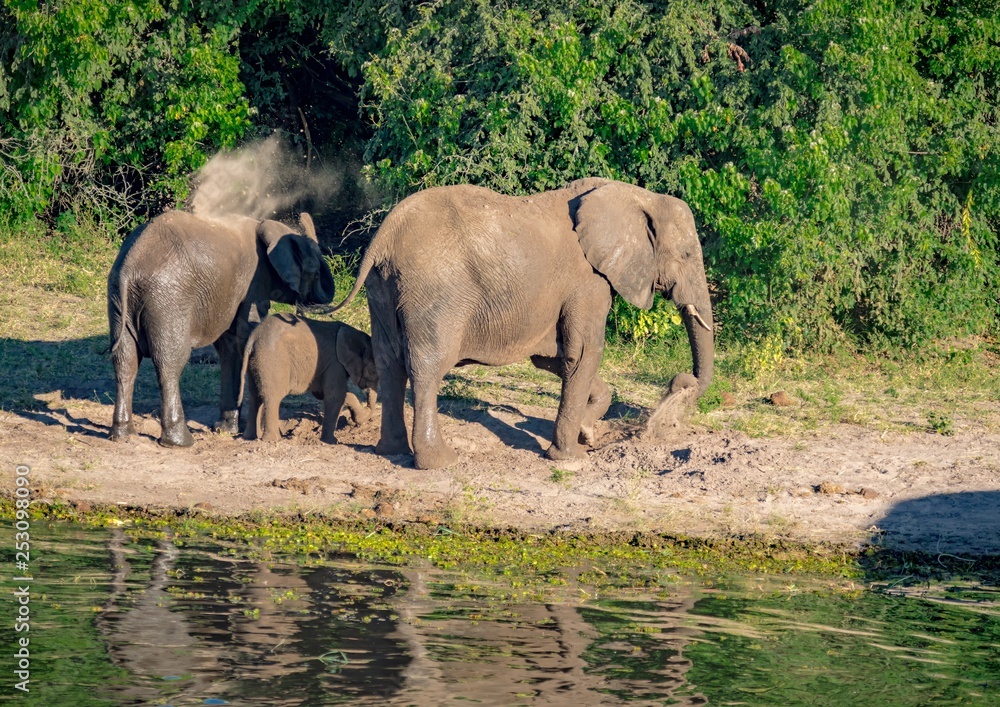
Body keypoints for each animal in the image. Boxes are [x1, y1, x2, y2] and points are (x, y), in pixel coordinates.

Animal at [107, 210, 335, 446]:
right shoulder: (254, 283)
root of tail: (130, 268)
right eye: (316, 273)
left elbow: (229, 347)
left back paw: (123, 435)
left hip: (118, 299)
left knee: (125, 360)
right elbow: (245, 334)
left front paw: (225, 429)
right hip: (168, 300)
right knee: (169, 362)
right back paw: (180, 442)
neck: (267, 226)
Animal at [240, 313, 379, 444]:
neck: (353, 333)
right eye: (373, 372)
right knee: (272, 397)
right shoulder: (335, 363)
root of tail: (254, 337)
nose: (352, 421)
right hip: (272, 361)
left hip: (255, 362)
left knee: (254, 396)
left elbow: (323, 394)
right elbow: (335, 396)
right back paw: (273, 439)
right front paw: (331, 442)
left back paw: (250, 437)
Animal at [320, 177, 713, 469]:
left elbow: (554, 358)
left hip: (382, 288)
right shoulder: (589, 282)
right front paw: (570, 456)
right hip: (434, 290)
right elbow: (583, 353)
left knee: (389, 361)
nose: (682, 383)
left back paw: (392, 451)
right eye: (687, 254)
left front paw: (587, 432)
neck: (637, 196)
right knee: (427, 366)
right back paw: (440, 462)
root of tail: (385, 234)